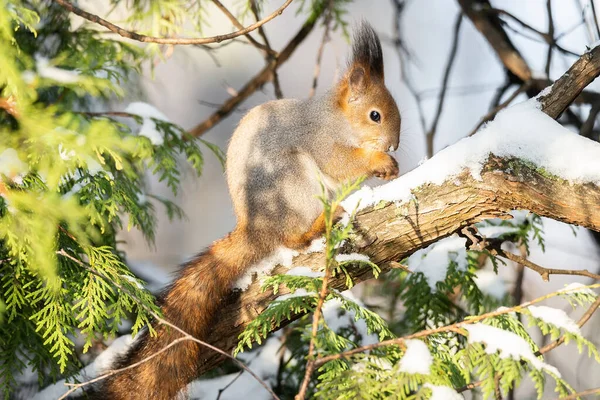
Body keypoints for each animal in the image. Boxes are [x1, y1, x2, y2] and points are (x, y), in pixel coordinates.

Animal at [96, 21, 400, 400]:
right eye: (375, 115)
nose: (394, 144)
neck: (336, 119)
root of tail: (257, 228)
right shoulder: (321, 141)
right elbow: (341, 163)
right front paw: (379, 162)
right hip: (293, 185)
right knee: (293, 239)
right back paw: (317, 226)